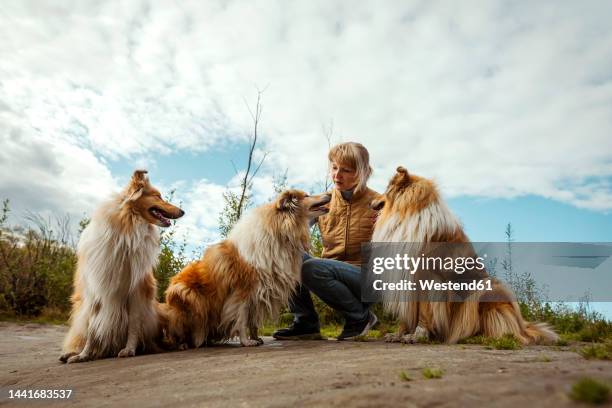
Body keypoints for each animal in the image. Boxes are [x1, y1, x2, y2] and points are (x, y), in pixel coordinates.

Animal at [59, 170, 184, 364]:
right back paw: (72, 353)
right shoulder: (96, 290)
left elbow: (133, 323)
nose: (183, 211)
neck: (128, 229)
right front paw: (84, 355)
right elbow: (92, 328)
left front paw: (129, 349)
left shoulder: (137, 290)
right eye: (158, 196)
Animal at [160, 190, 328, 348]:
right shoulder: (242, 292)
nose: (329, 194)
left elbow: (253, 321)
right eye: (307, 195)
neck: (281, 232)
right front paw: (246, 342)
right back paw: (183, 344)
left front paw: (256, 338)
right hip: (189, 296)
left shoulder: (260, 293)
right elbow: (241, 319)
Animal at [370, 167, 556, 346]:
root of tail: (523, 325)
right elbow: (406, 315)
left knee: (507, 331)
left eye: (386, 189)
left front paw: (417, 336)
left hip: (487, 289)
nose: (371, 203)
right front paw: (398, 334)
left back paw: (479, 337)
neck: (407, 214)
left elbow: (424, 312)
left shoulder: (427, 277)